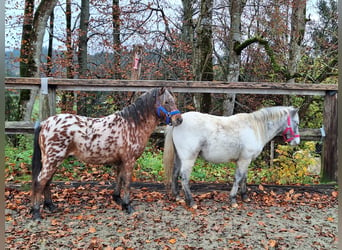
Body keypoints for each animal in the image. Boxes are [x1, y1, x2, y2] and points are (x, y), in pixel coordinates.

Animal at [30, 87, 183, 220]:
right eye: (166, 102)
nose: (179, 120)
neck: (132, 125)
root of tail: (45, 123)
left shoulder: (121, 161)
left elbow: (119, 179)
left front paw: (118, 199)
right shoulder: (129, 160)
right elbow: (127, 183)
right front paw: (127, 206)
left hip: (52, 161)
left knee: (47, 181)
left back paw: (50, 206)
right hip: (53, 160)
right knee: (40, 181)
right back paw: (37, 213)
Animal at [163, 106, 300, 208]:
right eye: (297, 123)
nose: (296, 142)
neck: (255, 128)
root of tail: (178, 121)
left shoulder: (246, 160)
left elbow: (244, 177)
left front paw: (245, 197)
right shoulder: (244, 160)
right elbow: (238, 178)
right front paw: (233, 199)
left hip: (179, 157)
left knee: (175, 174)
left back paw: (178, 197)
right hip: (188, 159)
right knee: (184, 178)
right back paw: (191, 202)